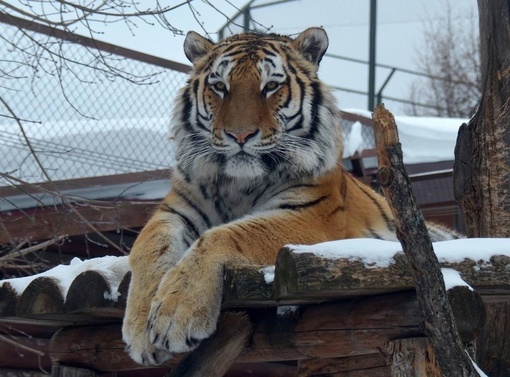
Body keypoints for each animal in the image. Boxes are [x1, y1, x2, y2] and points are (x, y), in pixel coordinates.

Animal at [121, 27, 460, 364]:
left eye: (271, 86)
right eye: (219, 87)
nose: (240, 135)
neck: (238, 185)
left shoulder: (311, 216)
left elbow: (225, 235)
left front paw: (176, 315)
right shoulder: (174, 211)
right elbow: (148, 247)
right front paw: (140, 330)